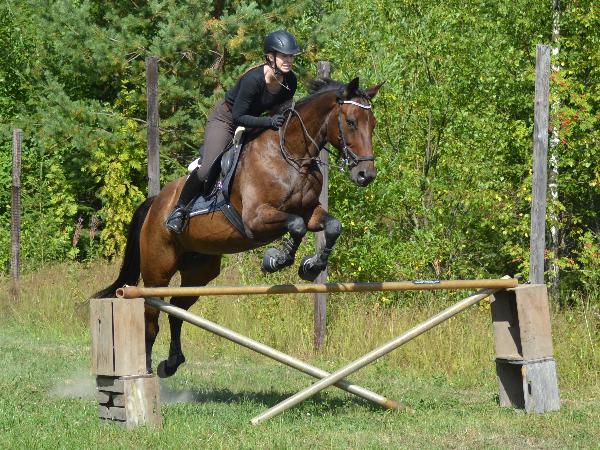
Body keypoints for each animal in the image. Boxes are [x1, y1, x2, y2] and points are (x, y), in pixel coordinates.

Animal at [94, 77, 382, 377]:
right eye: (350, 122)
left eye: (372, 123)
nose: (365, 175)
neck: (291, 155)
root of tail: (154, 204)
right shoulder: (255, 219)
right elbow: (296, 225)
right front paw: (276, 259)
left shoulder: (311, 211)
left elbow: (331, 225)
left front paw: (311, 266)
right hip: (156, 270)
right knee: (151, 315)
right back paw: (147, 369)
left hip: (200, 271)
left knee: (177, 309)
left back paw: (171, 362)